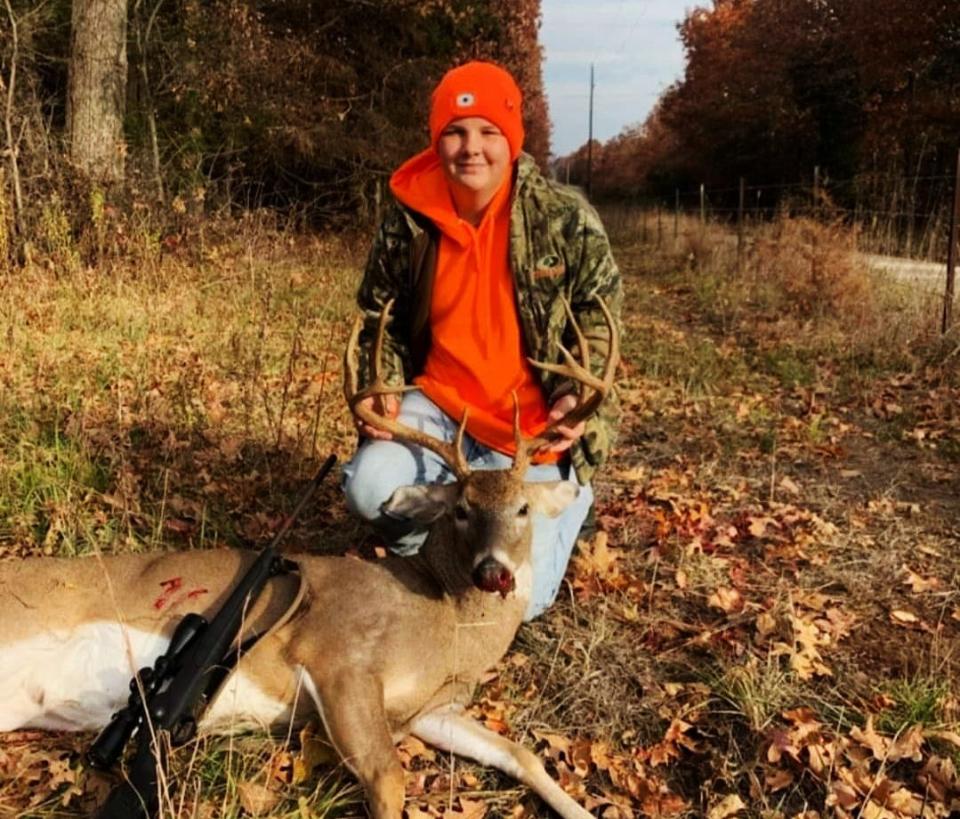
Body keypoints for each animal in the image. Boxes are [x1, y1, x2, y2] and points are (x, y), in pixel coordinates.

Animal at [0, 298, 616, 819]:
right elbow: (389, 781)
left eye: (523, 509)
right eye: (461, 509)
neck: (445, 623)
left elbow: (520, 753)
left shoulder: (429, 709)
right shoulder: (338, 655)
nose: (493, 571)